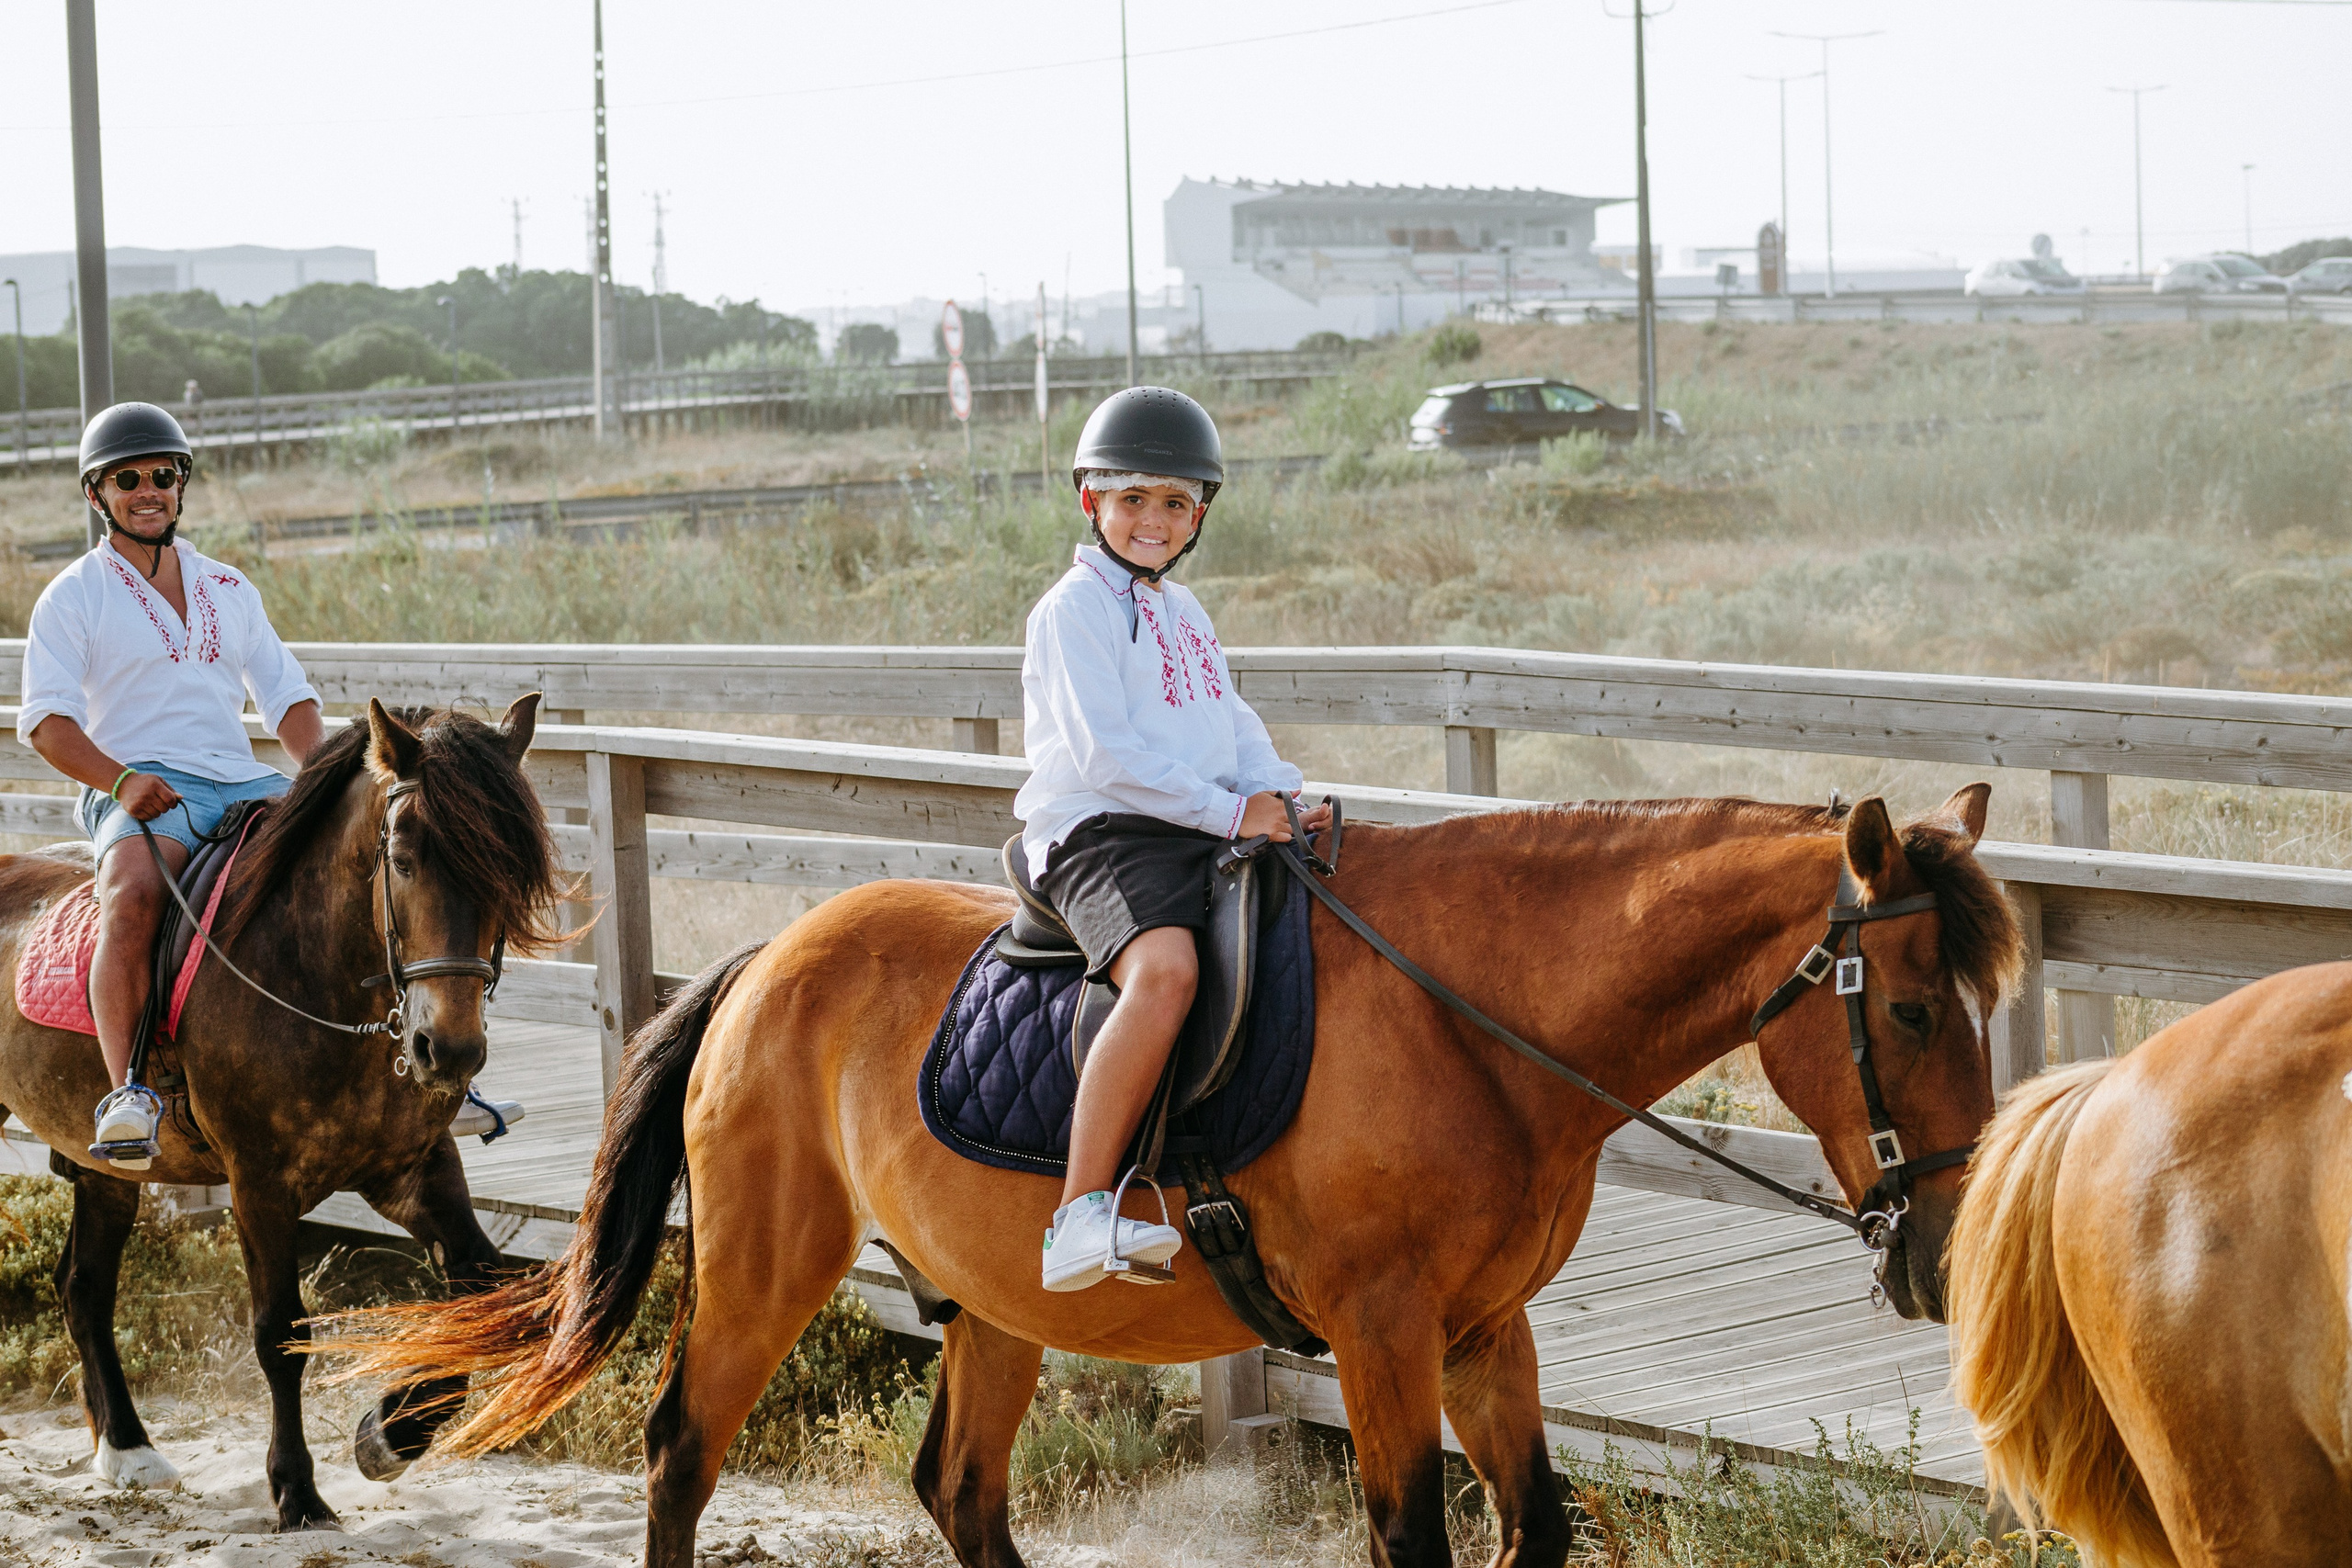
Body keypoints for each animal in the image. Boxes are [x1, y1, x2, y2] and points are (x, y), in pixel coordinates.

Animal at [0, 696, 564, 1531]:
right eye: (405, 859)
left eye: (509, 871)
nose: (449, 1049)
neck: (310, 969)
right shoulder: (260, 1184)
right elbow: (280, 1332)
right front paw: (297, 1490)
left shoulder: (411, 1168)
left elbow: (482, 1291)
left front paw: (388, 1433)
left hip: (104, 1169)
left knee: (84, 1286)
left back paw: (127, 1449)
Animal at [327, 785, 2021, 1568]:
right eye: (1912, 1010)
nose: (1944, 1249)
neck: (1477, 1020)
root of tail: (767, 960)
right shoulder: (1385, 1335)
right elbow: (1413, 1535)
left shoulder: (1487, 1330)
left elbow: (1533, 1522)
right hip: (763, 1262)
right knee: (684, 1449)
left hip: (992, 1307)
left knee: (959, 1487)